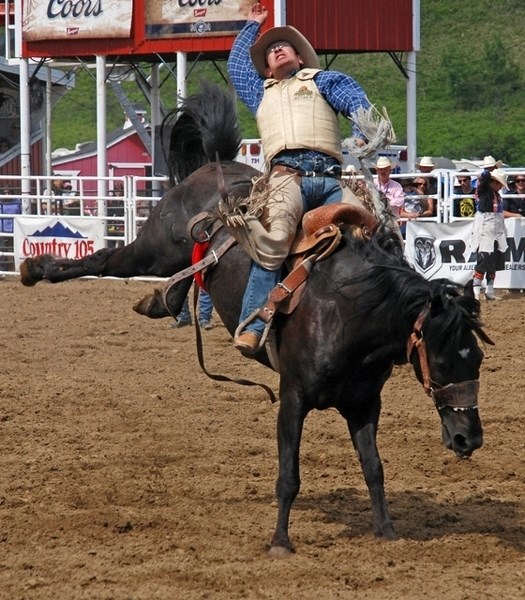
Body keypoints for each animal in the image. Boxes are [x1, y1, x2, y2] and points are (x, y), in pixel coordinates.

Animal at [20, 82, 494, 556]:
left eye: (477, 360)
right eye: (445, 359)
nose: (469, 439)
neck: (349, 314)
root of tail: (212, 170)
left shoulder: (363, 405)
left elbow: (374, 468)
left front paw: (386, 530)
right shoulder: (292, 399)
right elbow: (289, 476)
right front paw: (280, 541)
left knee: (181, 274)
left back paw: (158, 301)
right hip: (154, 249)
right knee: (105, 260)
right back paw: (35, 269)